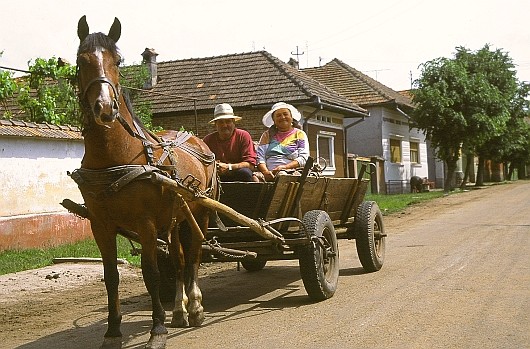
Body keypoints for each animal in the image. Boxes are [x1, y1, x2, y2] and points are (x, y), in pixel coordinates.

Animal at [73, 14, 216, 346]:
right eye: (81, 61)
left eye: (117, 60)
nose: (105, 108)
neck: (115, 159)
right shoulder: (100, 224)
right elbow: (111, 276)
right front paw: (113, 331)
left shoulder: (146, 223)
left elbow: (151, 273)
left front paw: (157, 329)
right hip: (176, 219)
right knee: (178, 260)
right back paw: (179, 310)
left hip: (200, 213)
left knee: (194, 255)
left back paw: (195, 307)